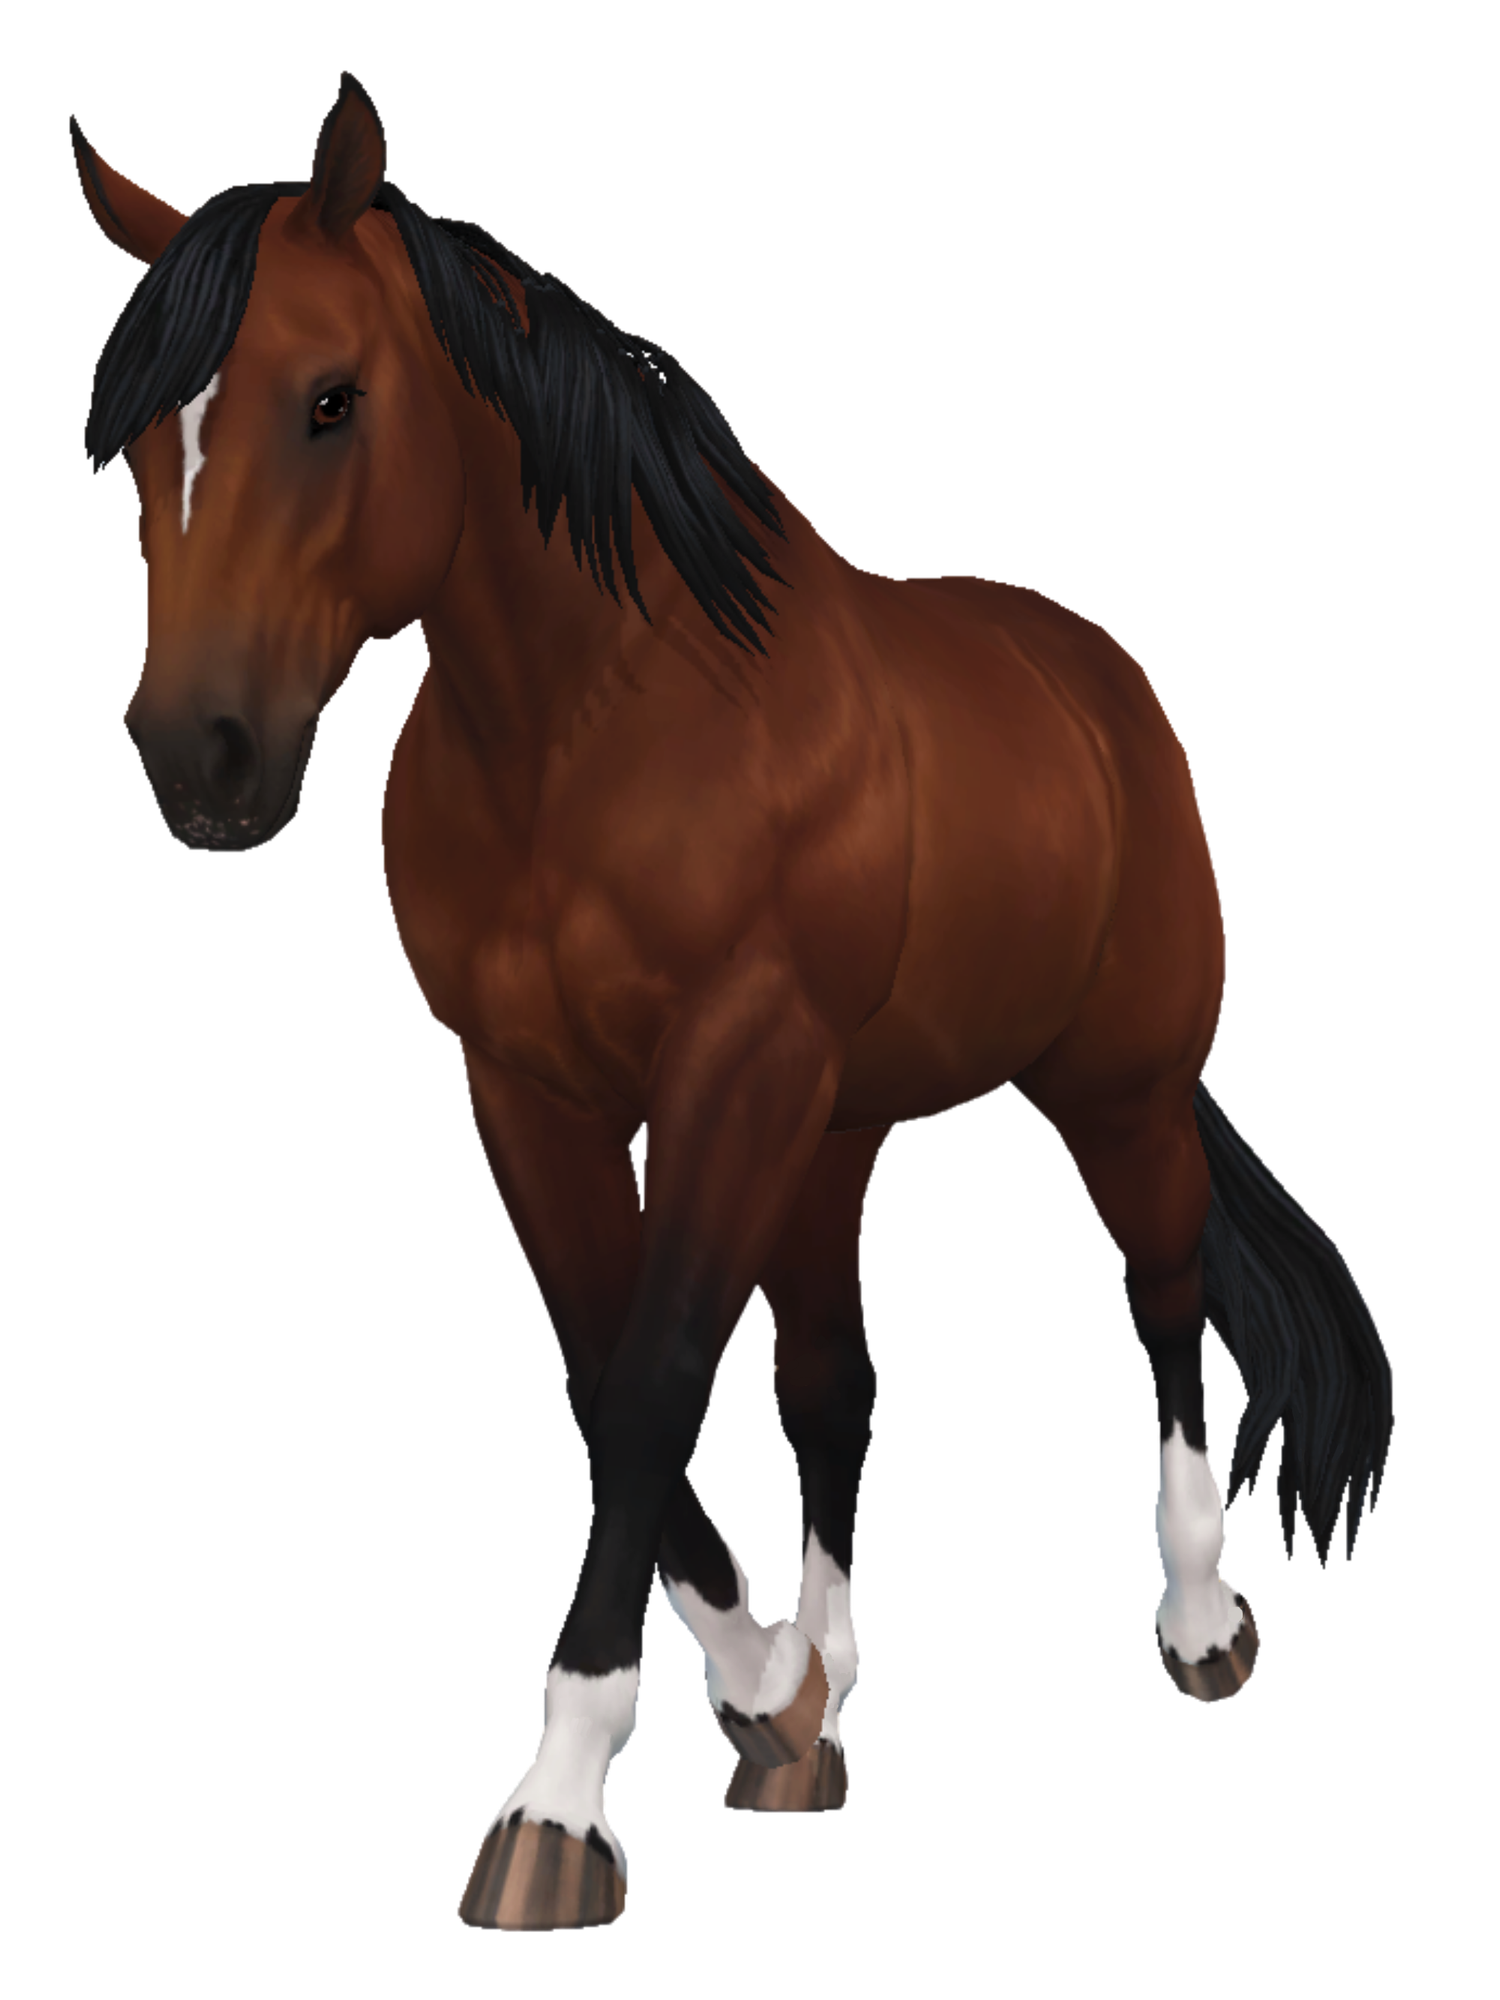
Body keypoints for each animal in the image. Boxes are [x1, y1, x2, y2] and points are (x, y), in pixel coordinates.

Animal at [75, 72, 1393, 1931]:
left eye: (330, 399)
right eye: (136, 445)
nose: (202, 758)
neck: (589, 729)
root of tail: (1100, 684)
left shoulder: (730, 1064)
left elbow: (652, 1374)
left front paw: (560, 1806)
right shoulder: (528, 1086)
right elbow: (605, 1369)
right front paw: (771, 1686)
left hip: (1113, 1090)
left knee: (1158, 1292)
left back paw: (1203, 1622)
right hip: (836, 1131)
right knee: (836, 1377)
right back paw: (826, 1707)